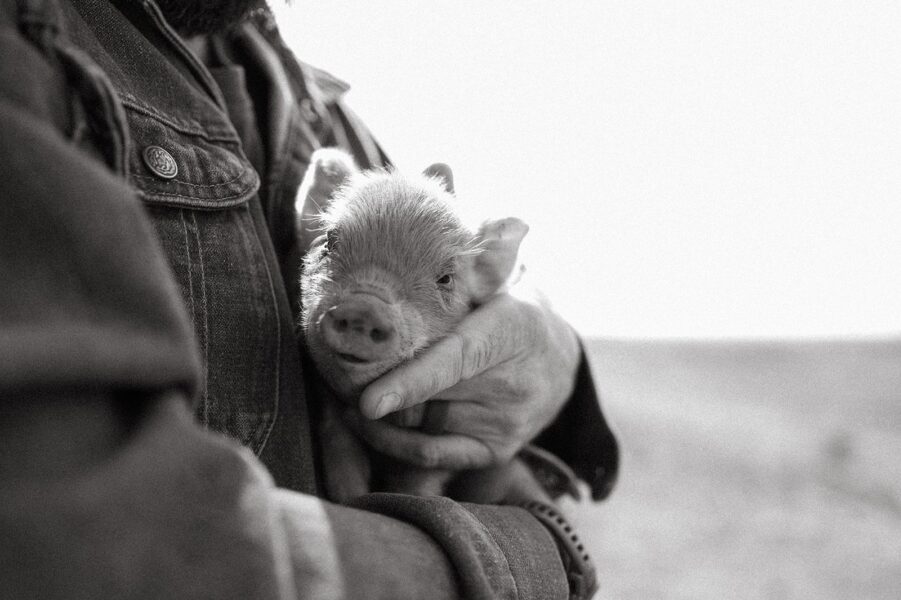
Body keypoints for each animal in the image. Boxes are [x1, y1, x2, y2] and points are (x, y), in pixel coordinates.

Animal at [297, 148, 532, 502]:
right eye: (330, 242)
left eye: (446, 279)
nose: (365, 307)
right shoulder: (332, 415)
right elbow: (343, 467)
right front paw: (352, 499)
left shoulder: (435, 450)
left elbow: (417, 486)